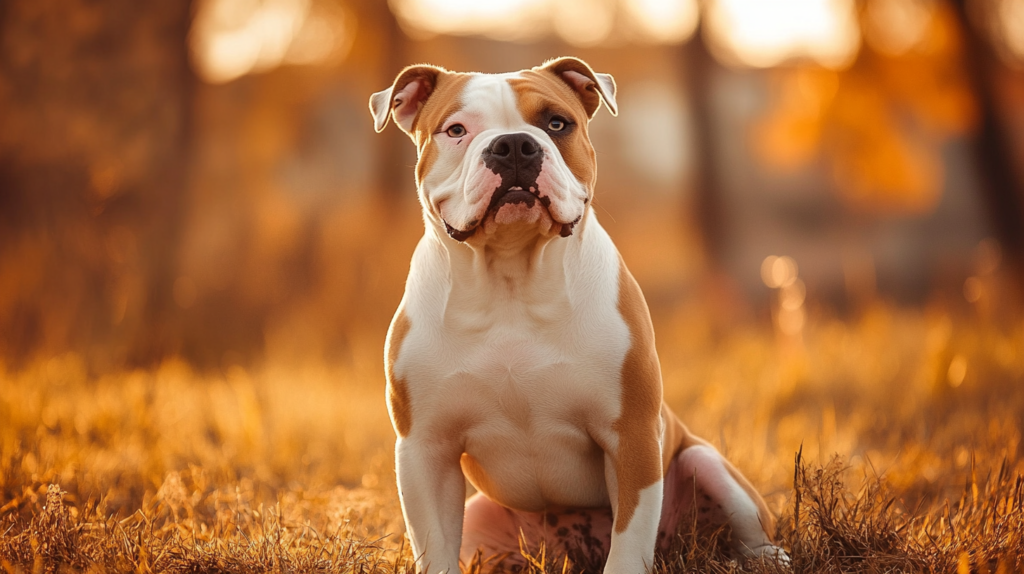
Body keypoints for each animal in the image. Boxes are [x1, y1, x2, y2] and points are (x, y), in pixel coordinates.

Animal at [370, 58, 782, 572]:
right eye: (456, 130)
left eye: (556, 123)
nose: (514, 145)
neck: (512, 279)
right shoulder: (425, 449)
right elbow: (435, 544)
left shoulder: (631, 435)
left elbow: (629, 540)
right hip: (482, 513)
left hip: (706, 464)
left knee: (748, 528)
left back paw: (767, 558)